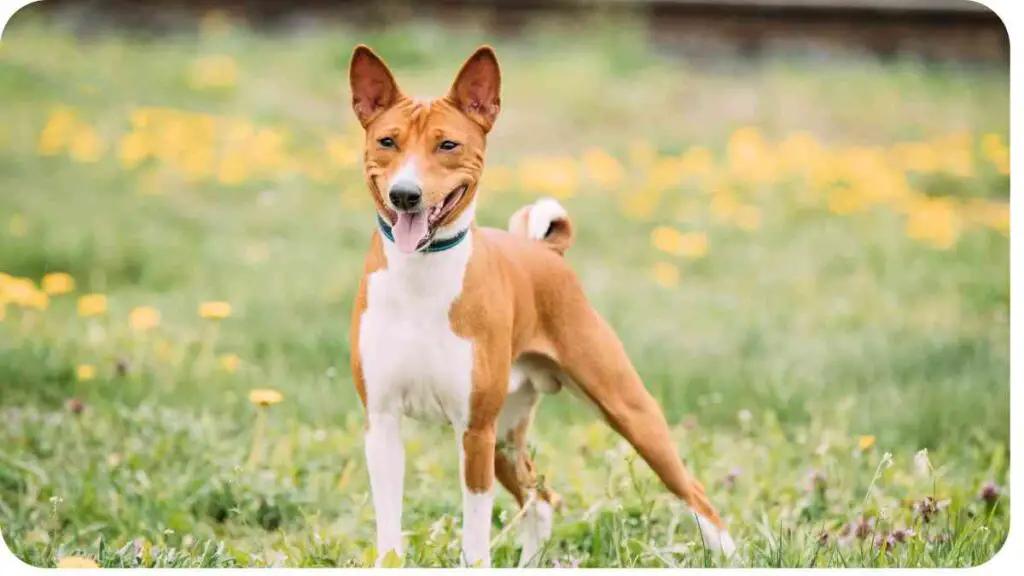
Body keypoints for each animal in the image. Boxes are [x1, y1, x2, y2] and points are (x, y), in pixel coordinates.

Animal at [348, 44, 733, 565]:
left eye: (447, 145)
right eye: (387, 141)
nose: (405, 194)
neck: (420, 279)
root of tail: (546, 252)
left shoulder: (474, 430)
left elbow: (474, 540)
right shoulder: (383, 423)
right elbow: (390, 535)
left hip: (625, 410)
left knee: (695, 492)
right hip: (507, 437)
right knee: (543, 500)